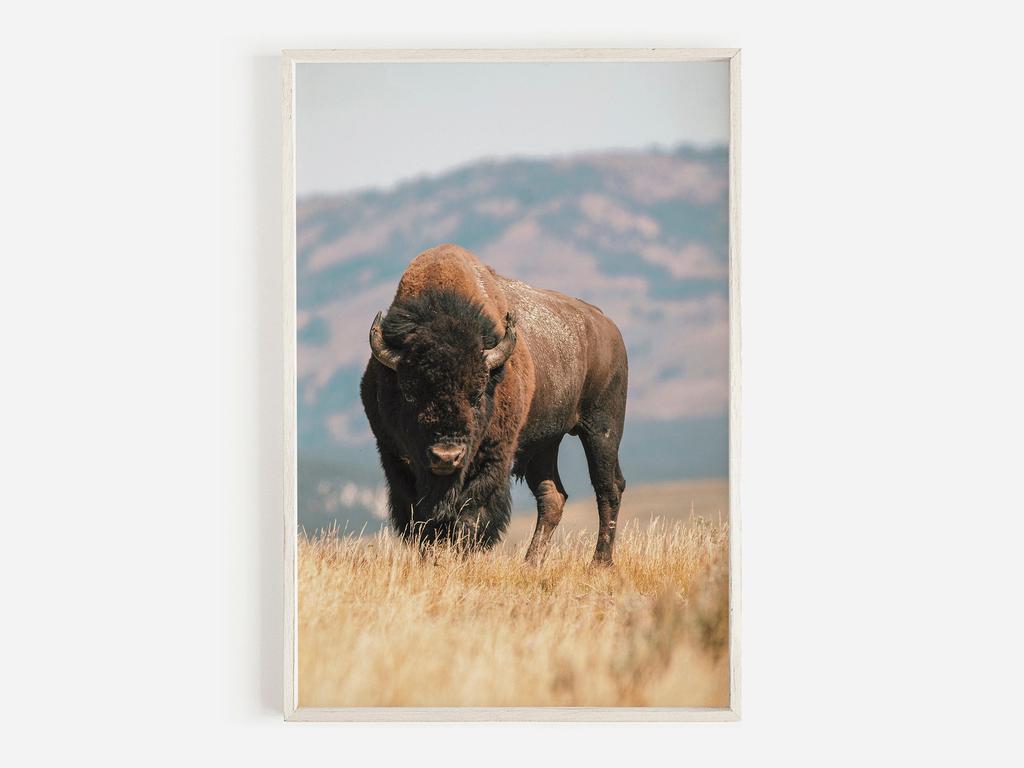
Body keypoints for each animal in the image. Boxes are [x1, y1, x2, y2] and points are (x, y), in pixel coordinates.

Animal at [360, 244, 628, 565]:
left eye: (476, 394)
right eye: (410, 394)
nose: (446, 456)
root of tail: (607, 325)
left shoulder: (494, 455)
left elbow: (472, 513)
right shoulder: (394, 455)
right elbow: (419, 519)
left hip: (602, 428)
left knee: (608, 487)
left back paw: (600, 562)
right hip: (544, 443)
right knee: (552, 497)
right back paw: (530, 563)